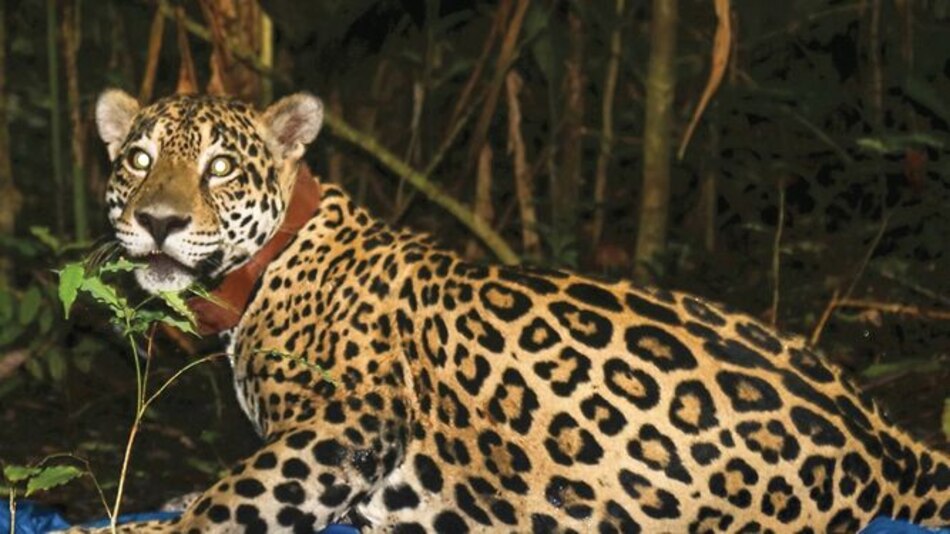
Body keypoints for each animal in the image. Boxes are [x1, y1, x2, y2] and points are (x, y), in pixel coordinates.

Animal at [77, 88, 949, 533]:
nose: (159, 221)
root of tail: (892, 446)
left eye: (221, 168)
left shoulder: (349, 418)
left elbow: (231, 501)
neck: (268, 269)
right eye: (139, 159)